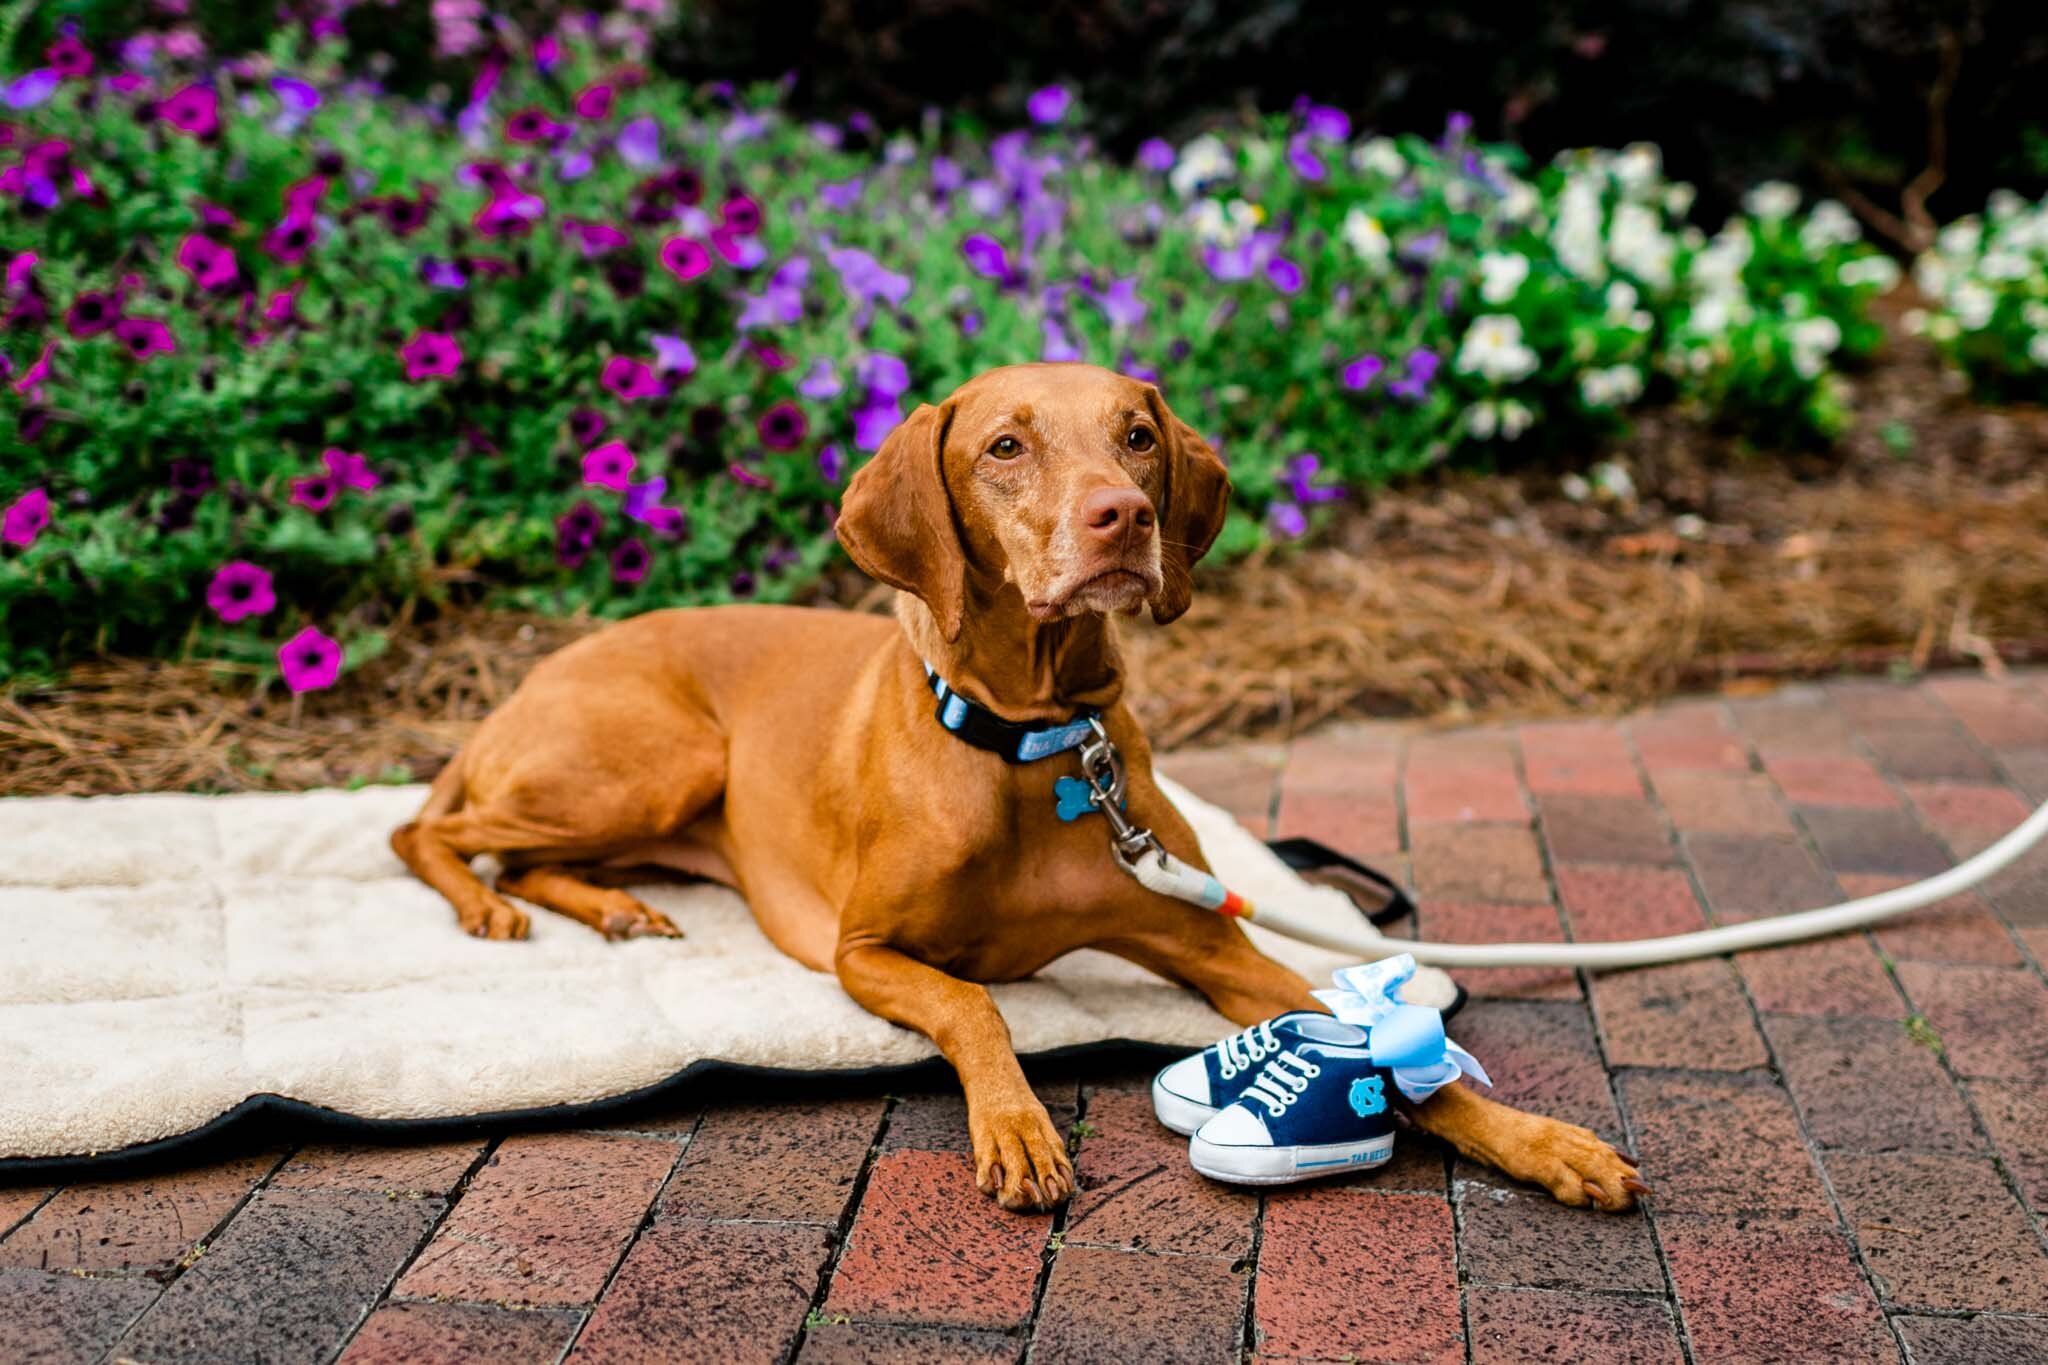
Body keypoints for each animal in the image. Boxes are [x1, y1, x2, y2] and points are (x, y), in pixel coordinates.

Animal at [391, 360, 1646, 1203]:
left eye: (1136, 436)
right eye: (1004, 447)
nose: (1123, 517)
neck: (1036, 744)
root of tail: (525, 678)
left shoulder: (1215, 947)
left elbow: (1393, 1056)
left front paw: (1539, 1142)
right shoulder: (861, 950)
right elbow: (974, 1002)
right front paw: (1017, 1128)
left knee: (519, 852)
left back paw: (610, 909)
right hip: (658, 762)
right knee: (428, 832)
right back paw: (489, 906)